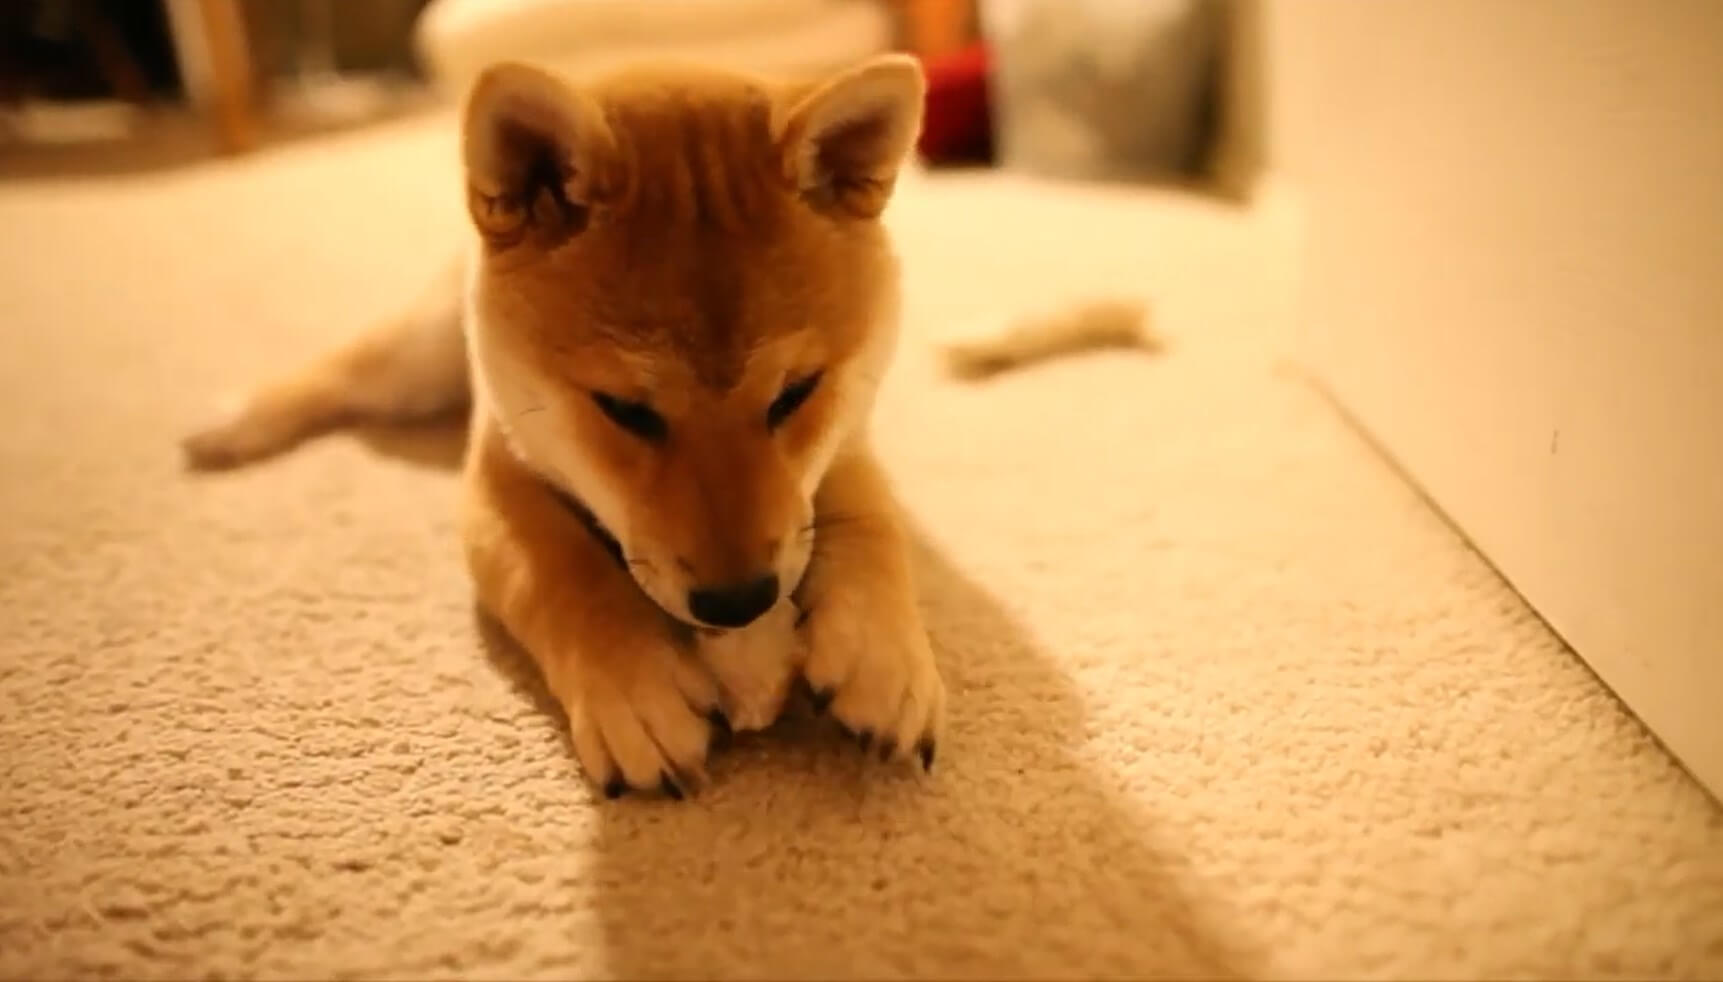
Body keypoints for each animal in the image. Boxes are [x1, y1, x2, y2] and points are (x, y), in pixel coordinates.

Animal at [181, 55, 951, 795]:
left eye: (796, 394)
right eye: (624, 410)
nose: (739, 602)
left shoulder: (846, 441)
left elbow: (873, 528)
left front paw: (885, 657)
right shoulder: (498, 475)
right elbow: (566, 576)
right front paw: (633, 688)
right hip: (418, 359)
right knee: (344, 370)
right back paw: (231, 422)